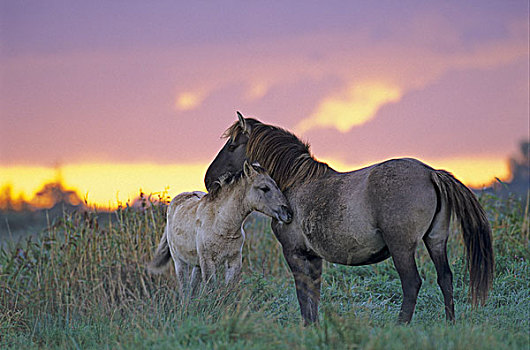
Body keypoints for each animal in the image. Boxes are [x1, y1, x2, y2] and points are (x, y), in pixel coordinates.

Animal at [146, 163, 290, 294]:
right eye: (264, 188)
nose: (288, 212)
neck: (223, 225)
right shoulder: (208, 261)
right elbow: (211, 289)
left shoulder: (234, 259)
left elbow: (229, 290)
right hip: (180, 262)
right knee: (185, 290)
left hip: (197, 264)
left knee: (192, 288)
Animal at [203, 113, 490, 326]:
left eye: (232, 146)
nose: (209, 180)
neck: (295, 183)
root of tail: (431, 173)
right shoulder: (313, 257)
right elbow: (314, 294)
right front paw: (315, 328)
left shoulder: (294, 253)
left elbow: (303, 293)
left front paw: (307, 327)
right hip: (436, 240)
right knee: (445, 278)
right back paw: (450, 324)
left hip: (402, 247)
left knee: (412, 284)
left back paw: (400, 326)